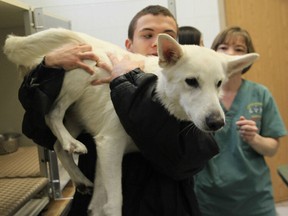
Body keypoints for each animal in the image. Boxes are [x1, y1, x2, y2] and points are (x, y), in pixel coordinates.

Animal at [2, 28, 258, 216]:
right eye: (191, 81)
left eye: (219, 83)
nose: (217, 123)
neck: (156, 94)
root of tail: (83, 37)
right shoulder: (110, 144)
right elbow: (114, 202)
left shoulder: (106, 153)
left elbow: (100, 203)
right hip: (84, 72)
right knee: (51, 114)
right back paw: (70, 144)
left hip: (78, 118)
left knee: (56, 144)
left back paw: (79, 176)